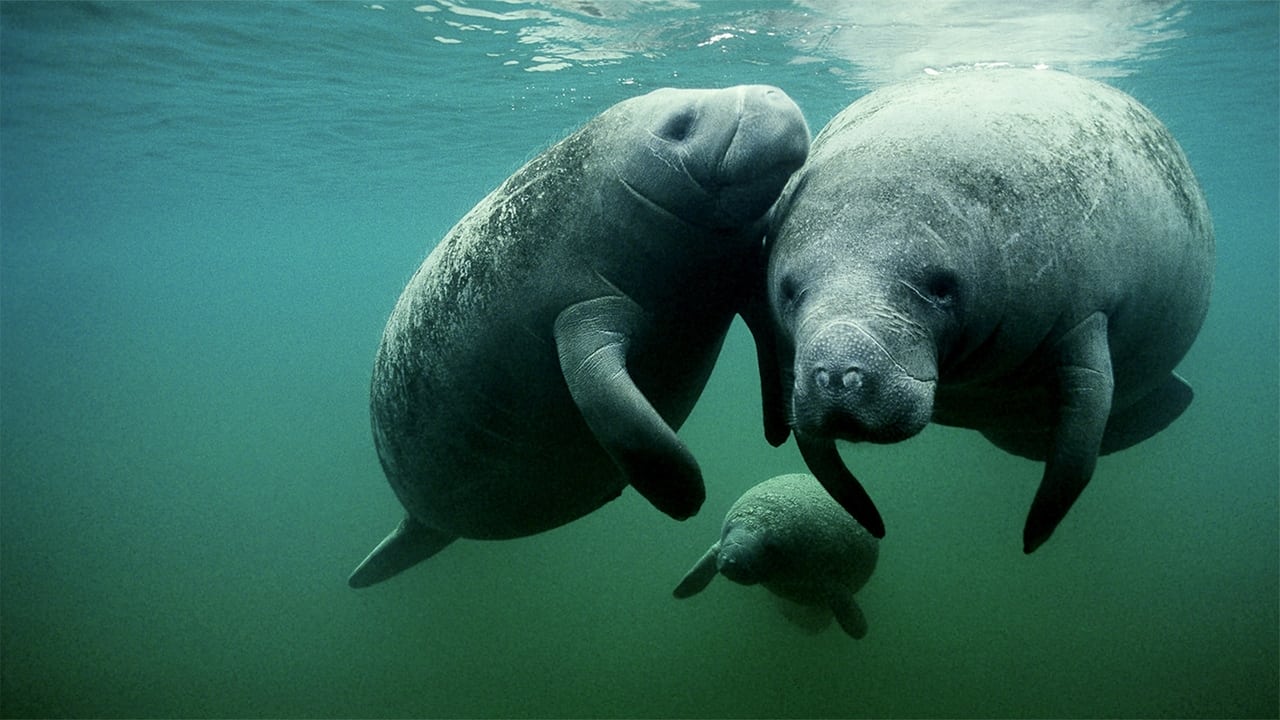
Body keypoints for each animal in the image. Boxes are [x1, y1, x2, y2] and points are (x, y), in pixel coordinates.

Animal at [350, 85, 808, 589]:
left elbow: (769, 334)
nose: (774, 94)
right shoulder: (578, 313)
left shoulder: (740, 265)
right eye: (681, 125)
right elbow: (615, 410)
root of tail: (419, 522)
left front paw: (777, 428)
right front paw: (686, 494)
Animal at [670, 474, 880, 635]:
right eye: (729, 529)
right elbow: (702, 566)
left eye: (771, 546)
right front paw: (681, 591)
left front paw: (859, 630)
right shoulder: (719, 546)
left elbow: (842, 599)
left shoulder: (828, 573)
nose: (730, 561)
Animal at [762, 67, 1213, 548]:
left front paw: (1034, 535)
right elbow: (819, 458)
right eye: (789, 290)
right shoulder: (785, 349)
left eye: (941, 287)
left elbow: (1077, 453)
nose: (835, 375)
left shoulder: (1086, 317)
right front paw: (870, 519)